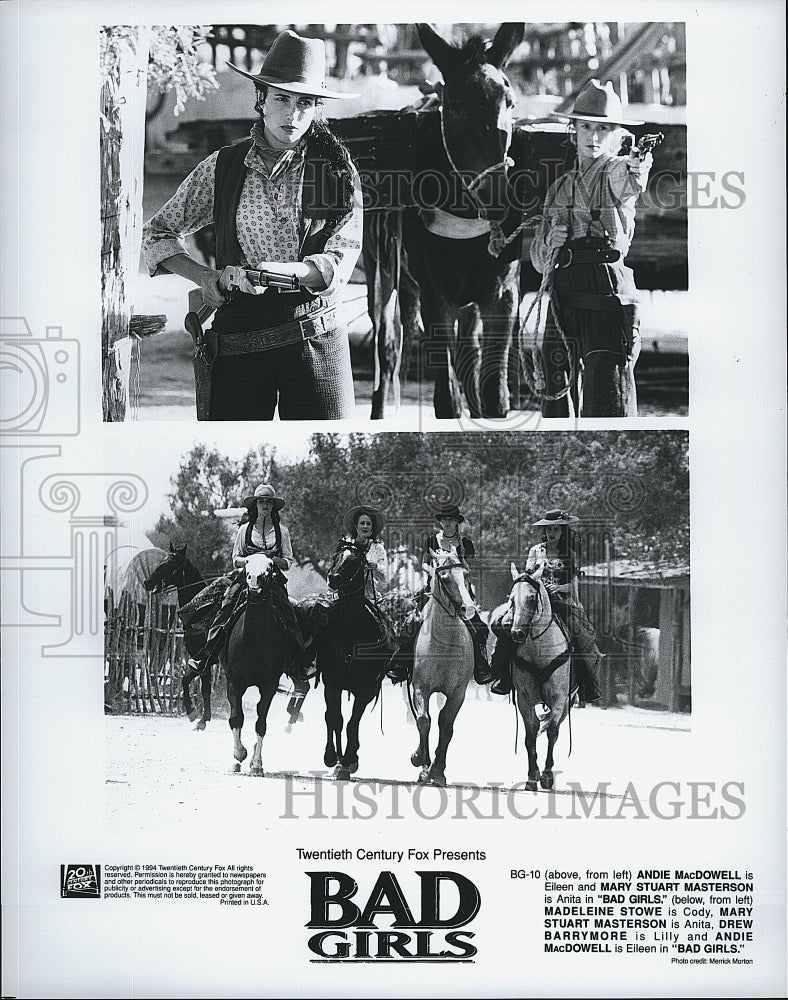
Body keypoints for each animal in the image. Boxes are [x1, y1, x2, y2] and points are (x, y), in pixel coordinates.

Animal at [142, 544, 214, 732]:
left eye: (171, 563)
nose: (147, 582)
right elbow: (203, 687)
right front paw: (203, 719)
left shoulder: (203, 658)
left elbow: (186, 680)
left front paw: (193, 713)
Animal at [222, 556, 290, 772]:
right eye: (246, 566)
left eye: (270, 567)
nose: (254, 580)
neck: (255, 640)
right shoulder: (234, 682)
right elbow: (236, 718)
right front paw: (238, 756)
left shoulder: (269, 685)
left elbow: (261, 723)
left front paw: (257, 763)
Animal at [318, 540, 392, 780]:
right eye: (335, 557)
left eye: (355, 562)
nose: (333, 578)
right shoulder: (332, 683)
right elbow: (335, 719)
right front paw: (333, 758)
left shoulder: (365, 689)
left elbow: (352, 723)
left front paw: (348, 759)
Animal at [410, 552, 478, 784]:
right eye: (445, 578)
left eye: (466, 575)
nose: (469, 608)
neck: (445, 645)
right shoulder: (420, 687)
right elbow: (423, 720)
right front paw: (420, 761)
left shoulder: (457, 693)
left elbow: (446, 726)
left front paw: (438, 771)